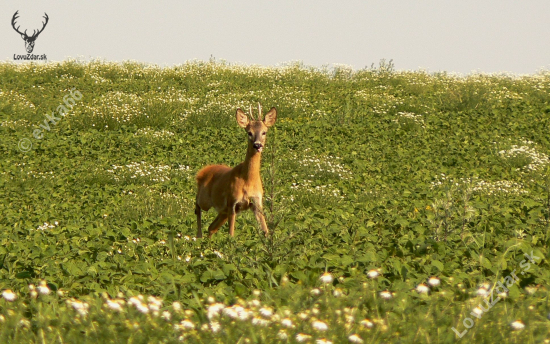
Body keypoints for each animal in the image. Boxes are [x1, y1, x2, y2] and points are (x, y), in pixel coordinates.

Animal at [196, 105, 278, 238]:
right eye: (249, 132)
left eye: (264, 132)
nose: (257, 145)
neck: (248, 181)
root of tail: (202, 172)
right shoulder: (232, 202)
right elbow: (231, 234)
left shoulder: (257, 202)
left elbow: (265, 230)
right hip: (206, 200)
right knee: (197, 205)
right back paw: (198, 235)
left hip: (222, 211)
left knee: (211, 227)